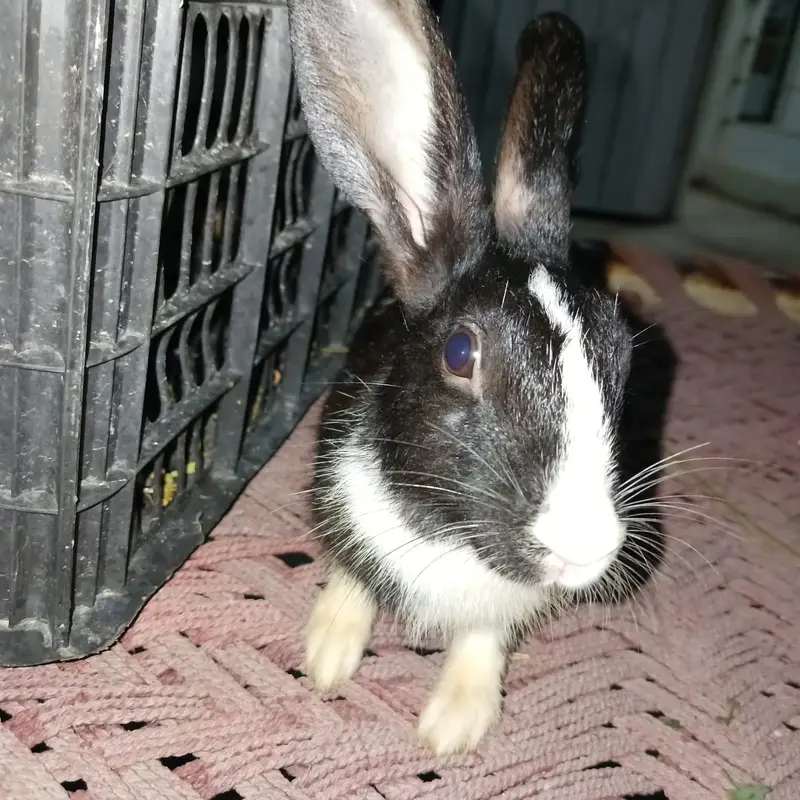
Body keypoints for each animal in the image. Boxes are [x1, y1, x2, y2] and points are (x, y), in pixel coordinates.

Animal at [287, 0, 633, 756]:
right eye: (457, 353)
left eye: (622, 353)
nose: (585, 547)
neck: (452, 536)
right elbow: (353, 577)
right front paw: (325, 657)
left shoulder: (498, 611)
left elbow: (483, 638)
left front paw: (453, 726)